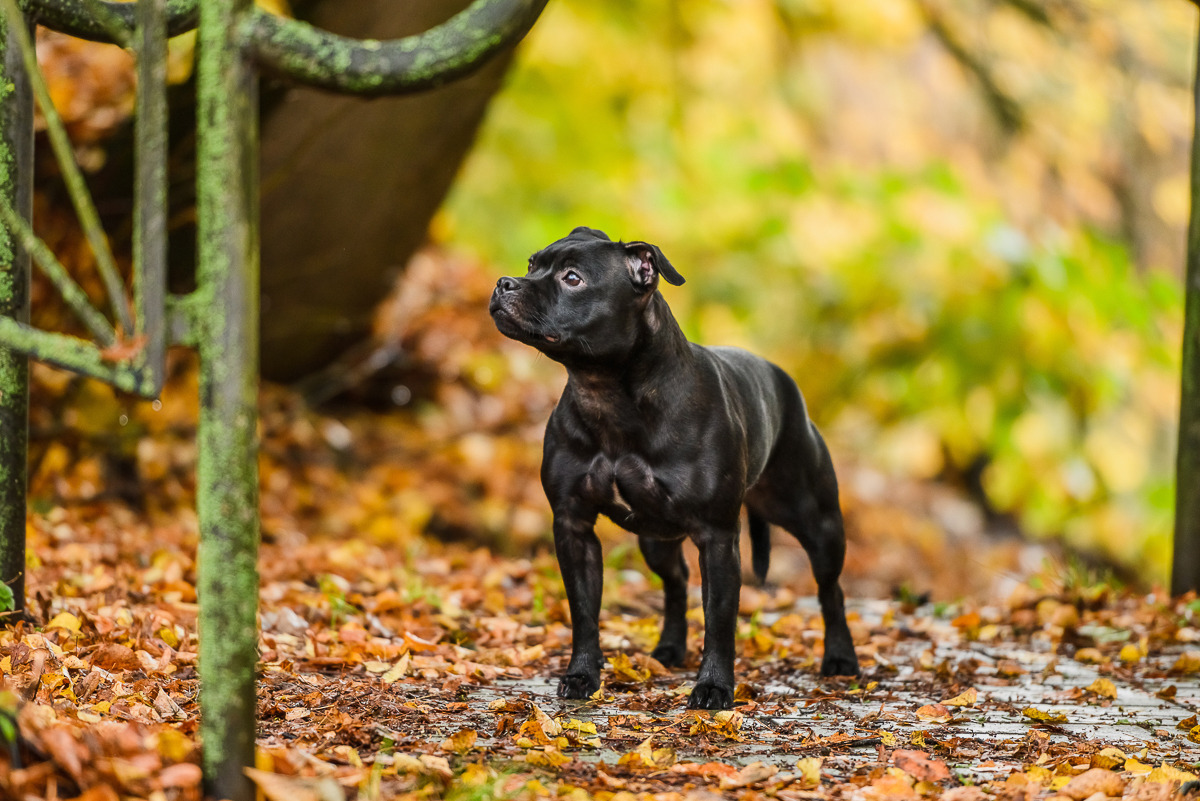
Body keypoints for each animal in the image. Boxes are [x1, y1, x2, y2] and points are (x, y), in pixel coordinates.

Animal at [489, 225, 864, 705]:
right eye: (532, 264)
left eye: (572, 278)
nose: (505, 283)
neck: (607, 395)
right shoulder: (573, 526)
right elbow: (584, 612)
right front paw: (582, 675)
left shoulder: (717, 536)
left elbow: (720, 619)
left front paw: (714, 687)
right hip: (655, 538)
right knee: (675, 582)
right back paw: (669, 647)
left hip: (816, 521)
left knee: (830, 589)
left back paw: (840, 658)